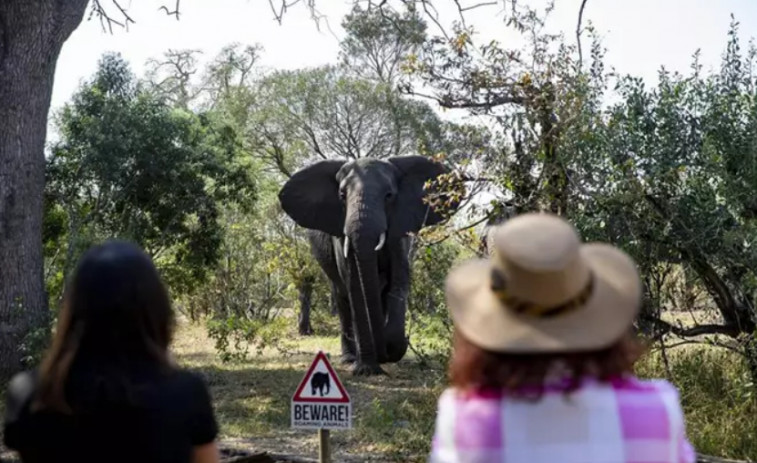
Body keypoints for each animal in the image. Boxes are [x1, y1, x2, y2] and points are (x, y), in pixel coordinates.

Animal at [276, 156, 454, 376]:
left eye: (389, 196)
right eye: (342, 196)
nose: (384, 353)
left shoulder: (400, 229)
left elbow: (399, 279)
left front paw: (391, 345)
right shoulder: (341, 235)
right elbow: (354, 286)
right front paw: (367, 370)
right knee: (342, 297)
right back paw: (350, 358)